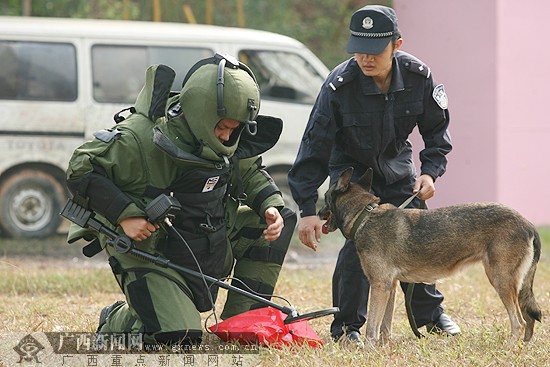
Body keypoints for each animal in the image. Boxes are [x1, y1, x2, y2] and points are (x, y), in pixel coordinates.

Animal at [322, 168, 540, 344]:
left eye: (325, 197)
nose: (318, 211)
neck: (364, 216)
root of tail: (527, 224)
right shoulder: (390, 287)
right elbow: (384, 327)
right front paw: (383, 349)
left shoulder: (379, 286)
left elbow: (372, 328)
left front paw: (369, 351)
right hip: (513, 284)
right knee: (528, 320)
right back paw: (524, 345)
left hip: (500, 280)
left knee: (519, 321)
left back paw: (511, 347)